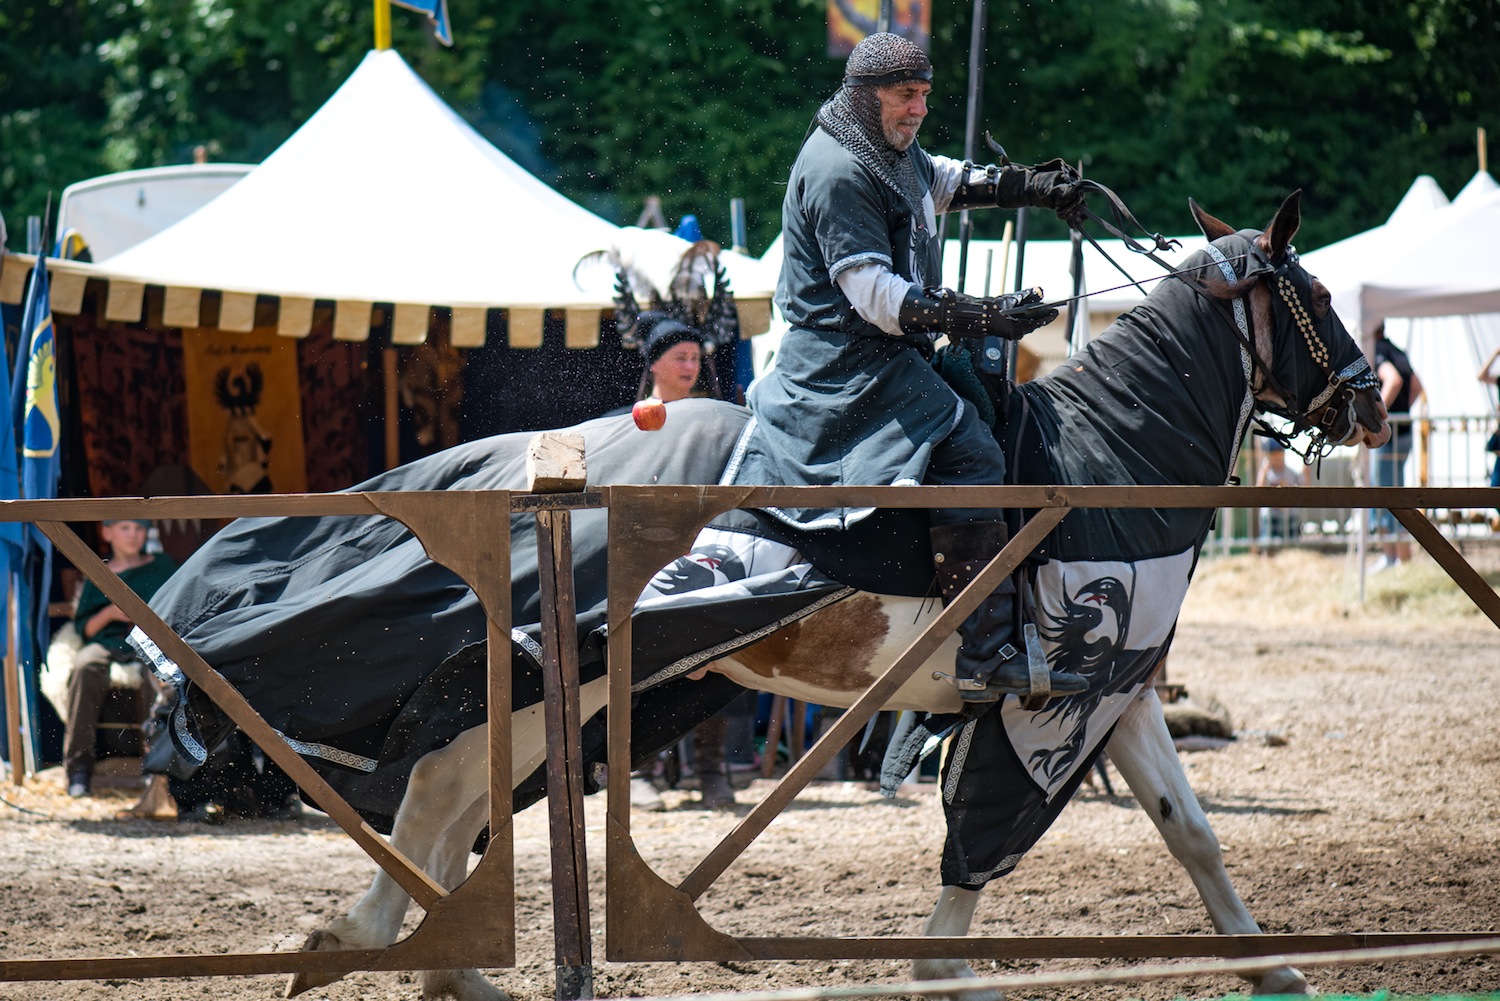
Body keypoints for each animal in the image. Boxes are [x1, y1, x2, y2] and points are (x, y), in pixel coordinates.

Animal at [133, 192, 1387, 1001]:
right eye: (1317, 289)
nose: (1375, 399)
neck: (1107, 462)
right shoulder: (1054, 702)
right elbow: (994, 833)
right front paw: (947, 966)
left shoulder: (1111, 696)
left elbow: (1191, 831)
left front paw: (1276, 966)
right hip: (578, 673)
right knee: (444, 786)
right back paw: (395, 944)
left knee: (448, 791)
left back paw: (436, 956)